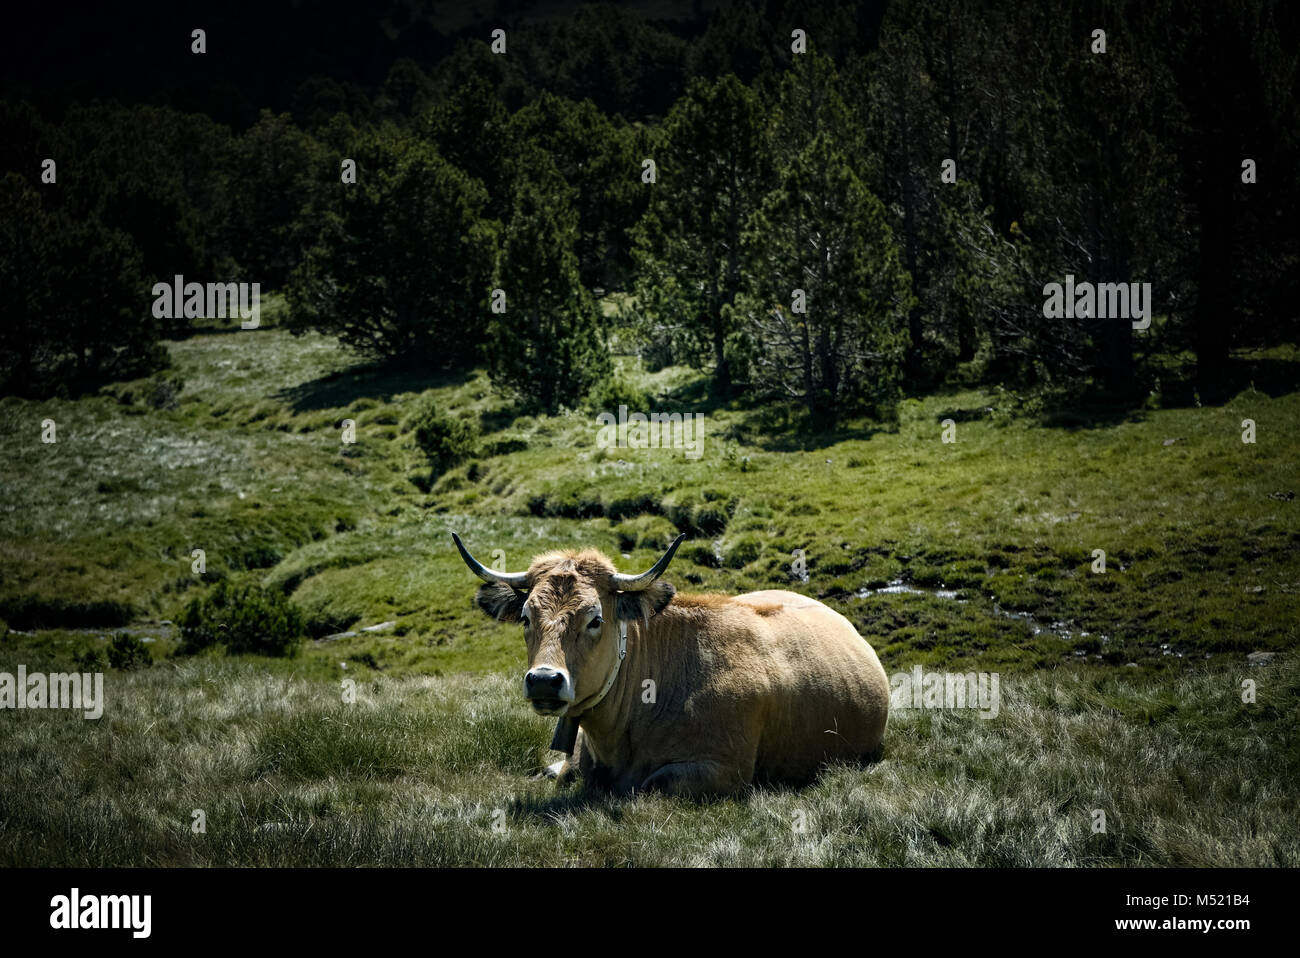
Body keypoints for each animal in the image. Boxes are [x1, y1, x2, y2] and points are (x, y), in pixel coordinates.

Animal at [453, 532, 890, 798]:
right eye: (527, 617)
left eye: (596, 619)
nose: (544, 680)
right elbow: (568, 772)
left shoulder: (722, 769)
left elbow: (651, 784)